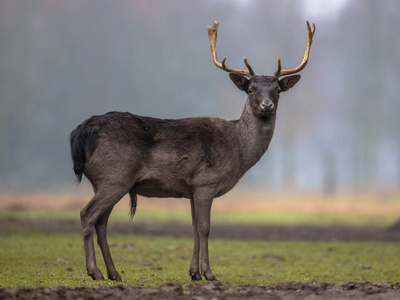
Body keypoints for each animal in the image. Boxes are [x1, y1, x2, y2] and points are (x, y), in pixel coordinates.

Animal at [71, 20, 316, 282]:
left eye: (277, 90)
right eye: (250, 89)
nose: (266, 105)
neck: (237, 149)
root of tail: (82, 131)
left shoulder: (191, 189)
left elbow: (194, 228)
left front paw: (194, 273)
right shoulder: (206, 182)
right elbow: (205, 228)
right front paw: (209, 273)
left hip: (105, 181)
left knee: (101, 223)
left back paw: (114, 273)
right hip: (115, 176)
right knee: (87, 214)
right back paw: (94, 271)